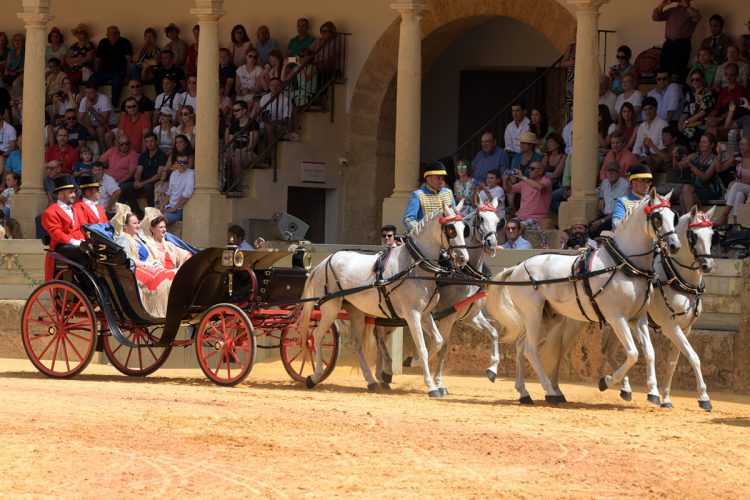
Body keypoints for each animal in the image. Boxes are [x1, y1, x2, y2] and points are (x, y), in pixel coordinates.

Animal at [298, 201, 470, 396]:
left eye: (464, 228)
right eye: (451, 229)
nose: (463, 259)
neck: (412, 266)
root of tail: (321, 264)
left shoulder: (425, 315)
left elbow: (438, 342)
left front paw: (410, 362)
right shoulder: (412, 315)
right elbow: (422, 348)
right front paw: (431, 386)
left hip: (356, 311)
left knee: (356, 344)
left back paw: (371, 380)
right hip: (330, 308)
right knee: (317, 335)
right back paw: (315, 376)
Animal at [374, 200, 502, 394]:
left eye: (498, 220)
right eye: (480, 218)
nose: (492, 244)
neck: (464, 273)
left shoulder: (471, 316)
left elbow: (493, 333)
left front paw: (492, 370)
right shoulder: (447, 318)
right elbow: (442, 348)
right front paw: (436, 380)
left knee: (379, 335)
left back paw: (383, 374)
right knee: (379, 335)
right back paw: (386, 371)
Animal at [488, 189, 680, 404]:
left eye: (673, 216)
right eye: (657, 218)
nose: (674, 245)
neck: (623, 264)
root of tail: (517, 268)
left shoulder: (638, 319)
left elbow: (650, 353)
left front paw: (653, 393)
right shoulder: (617, 318)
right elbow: (632, 354)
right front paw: (606, 381)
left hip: (548, 318)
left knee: (522, 346)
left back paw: (524, 392)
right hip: (533, 314)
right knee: (530, 349)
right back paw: (550, 391)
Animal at [536, 207, 716, 410]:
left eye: (712, 234)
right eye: (693, 235)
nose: (707, 265)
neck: (674, 277)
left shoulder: (685, 328)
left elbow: (673, 362)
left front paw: (666, 398)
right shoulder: (670, 327)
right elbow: (693, 356)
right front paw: (704, 398)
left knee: (607, 351)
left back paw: (622, 388)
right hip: (576, 323)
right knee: (559, 351)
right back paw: (555, 390)